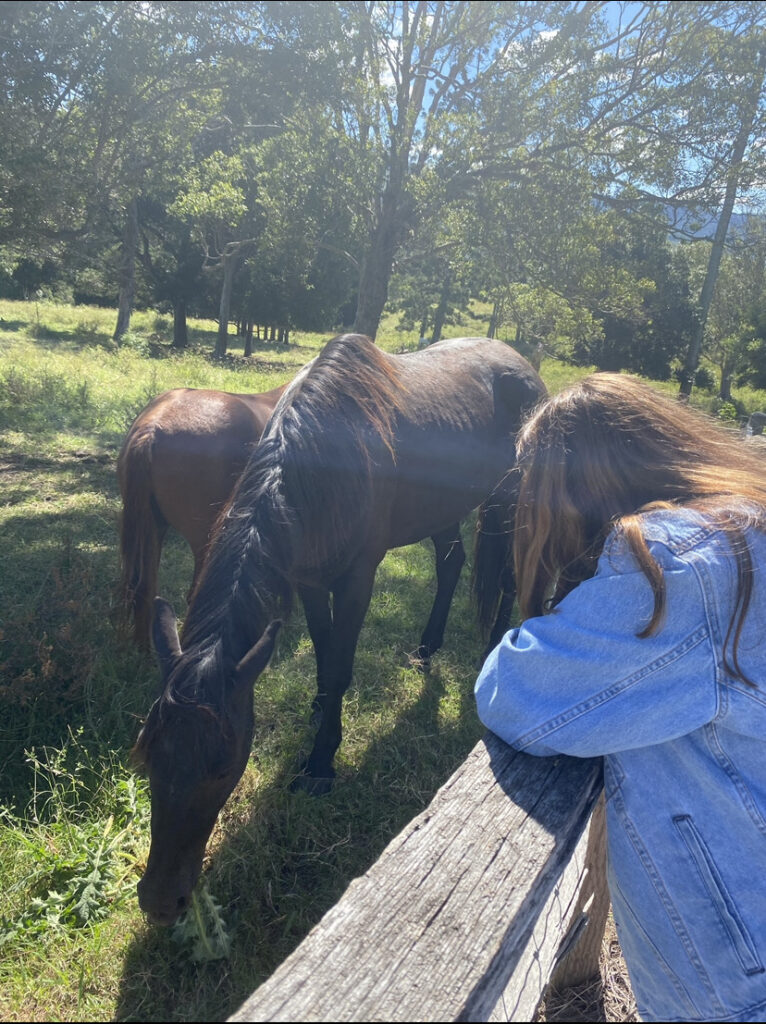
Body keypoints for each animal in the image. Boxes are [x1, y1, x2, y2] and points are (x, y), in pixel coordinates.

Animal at [134, 331, 548, 925]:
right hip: (442, 507)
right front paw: (317, 715)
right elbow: (324, 651)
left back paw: (493, 649)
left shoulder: (357, 579)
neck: (323, 458)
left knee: (509, 575)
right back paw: (426, 648)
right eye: (147, 753)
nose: (161, 901)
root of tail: (522, 364)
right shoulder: (308, 576)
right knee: (451, 561)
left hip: (508, 497)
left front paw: (321, 764)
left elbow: (341, 664)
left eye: (222, 765)